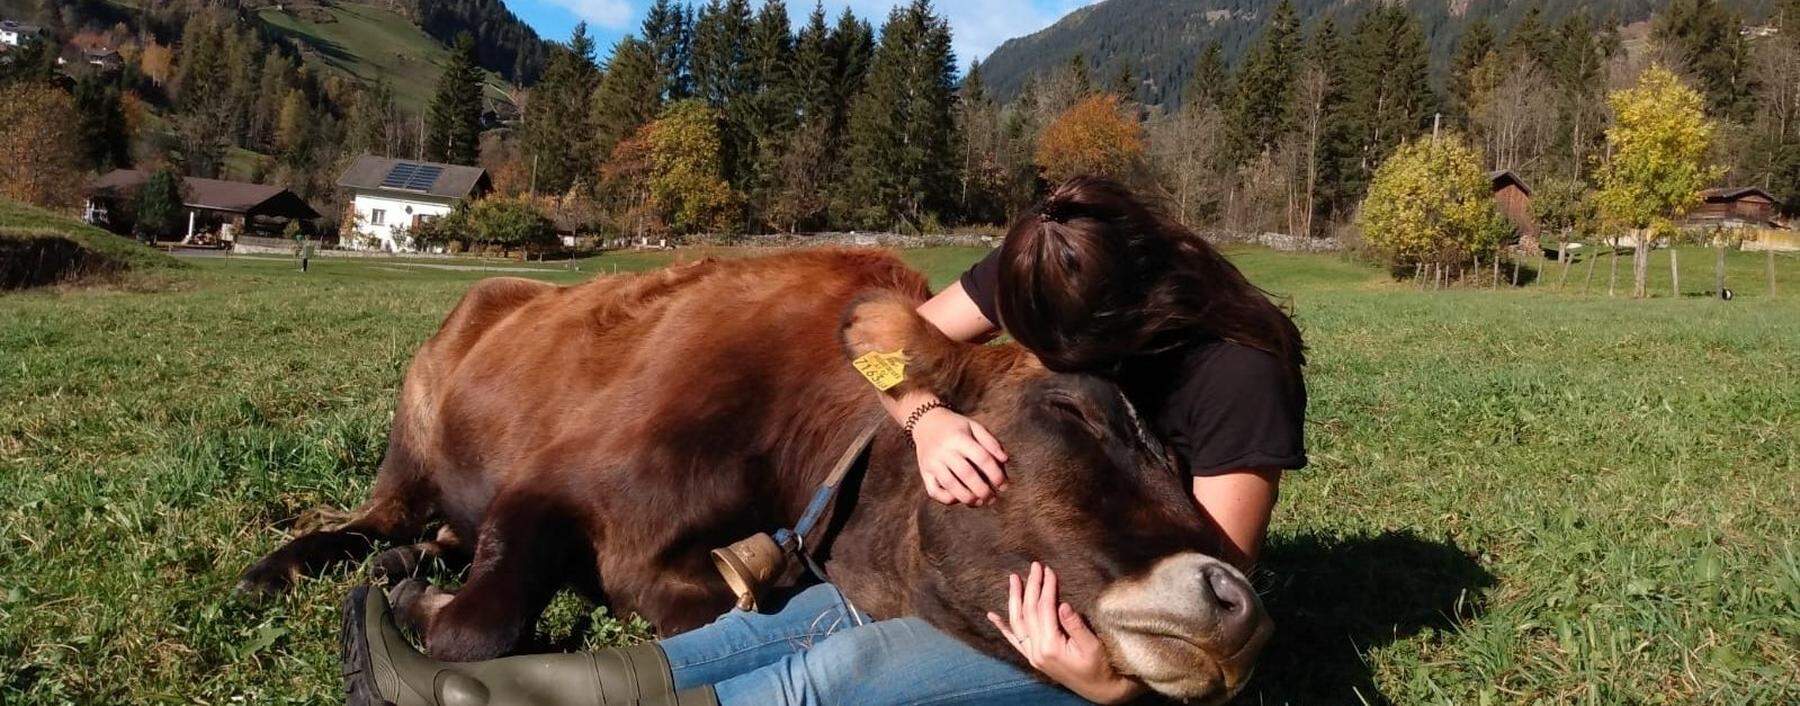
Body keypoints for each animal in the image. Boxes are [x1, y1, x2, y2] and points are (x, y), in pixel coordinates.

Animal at [246, 248, 1274, 698]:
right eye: (1073, 412)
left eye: (1179, 455)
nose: (1235, 601)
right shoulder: (548, 481)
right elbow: (479, 624)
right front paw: (415, 609)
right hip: (415, 432)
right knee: (380, 519)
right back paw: (287, 567)